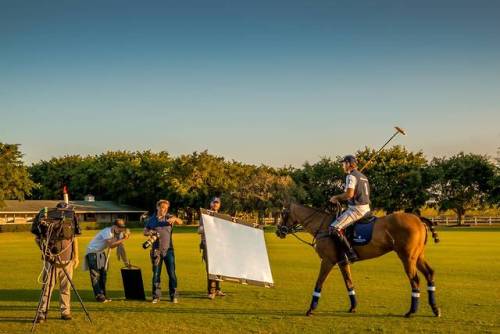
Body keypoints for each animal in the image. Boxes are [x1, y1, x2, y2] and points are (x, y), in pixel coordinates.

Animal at [276, 202, 444, 318]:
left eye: (283, 214)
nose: (279, 232)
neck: (322, 226)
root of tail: (419, 219)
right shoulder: (342, 261)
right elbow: (349, 283)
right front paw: (353, 307)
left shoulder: (328, 261)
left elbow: (319, 283)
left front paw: (311, 309)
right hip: (418, 255)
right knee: (429, 274)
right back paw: (435, 309)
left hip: (407, 257)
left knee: (415, 280)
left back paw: (411, 311)